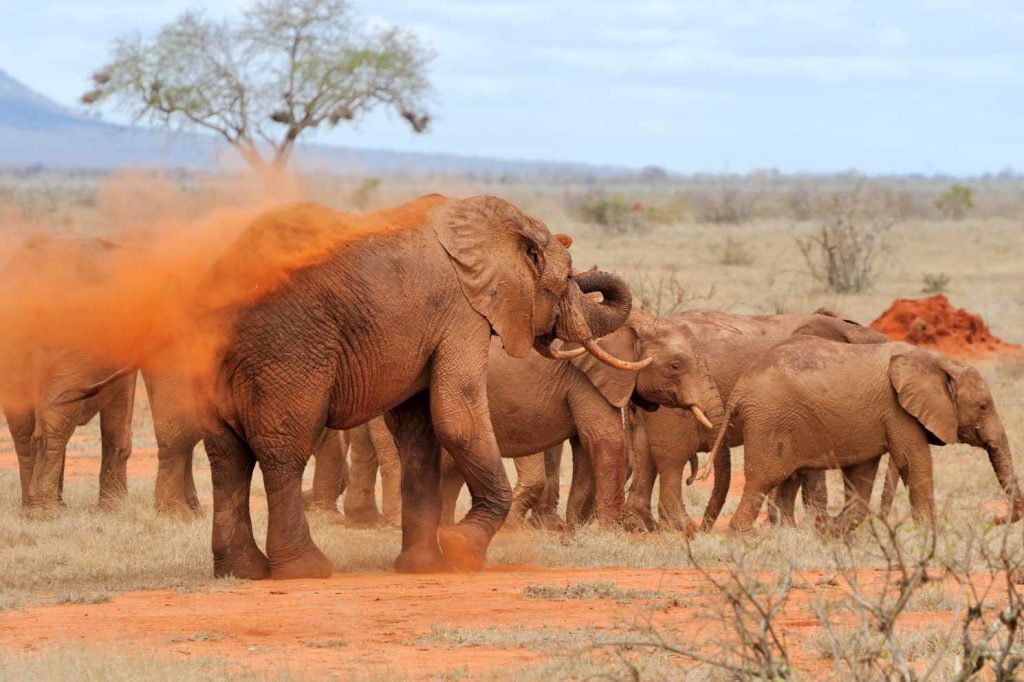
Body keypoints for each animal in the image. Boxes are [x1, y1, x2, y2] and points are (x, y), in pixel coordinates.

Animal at [87, 194, 641, 580]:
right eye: (563, 281)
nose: (578, 258)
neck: (484, 222)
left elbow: (420, 432)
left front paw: (423, 566)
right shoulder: (461, 313)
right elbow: (457, 416)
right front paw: (462, 550)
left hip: (212, 360)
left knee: (227, 457)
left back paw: (240, 572)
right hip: (290, 351)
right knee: (283, 450)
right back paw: (305, 571)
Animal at [622, 309, 888, 531]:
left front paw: (786, 528)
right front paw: (806, 528)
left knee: (644, 450)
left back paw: (643, 526)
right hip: (672, 399)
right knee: (672, 456)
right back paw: (676, 528)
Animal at [702, 336, 1024, 534]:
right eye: (983, 406)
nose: (995, 520)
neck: (938, 361)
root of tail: (739, 389)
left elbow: (862, 474)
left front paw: (831, 533)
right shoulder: (898, 410)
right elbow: (913, 463)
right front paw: (931, 538)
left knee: (783, 480)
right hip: (770, 420)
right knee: (763, 478)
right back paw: (746, 538)